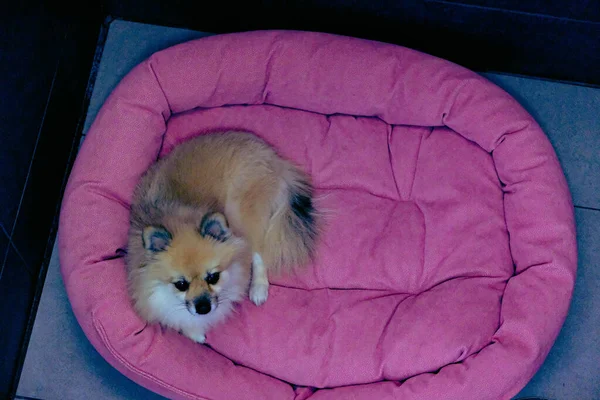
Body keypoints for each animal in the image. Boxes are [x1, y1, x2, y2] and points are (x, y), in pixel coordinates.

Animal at [126, 132, 318, 344]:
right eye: (181, 285)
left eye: (213, 277)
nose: (203, 308)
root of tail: (273, 158)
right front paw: (194, 333)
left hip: (241, 214)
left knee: (258, 252)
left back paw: (258, 289)